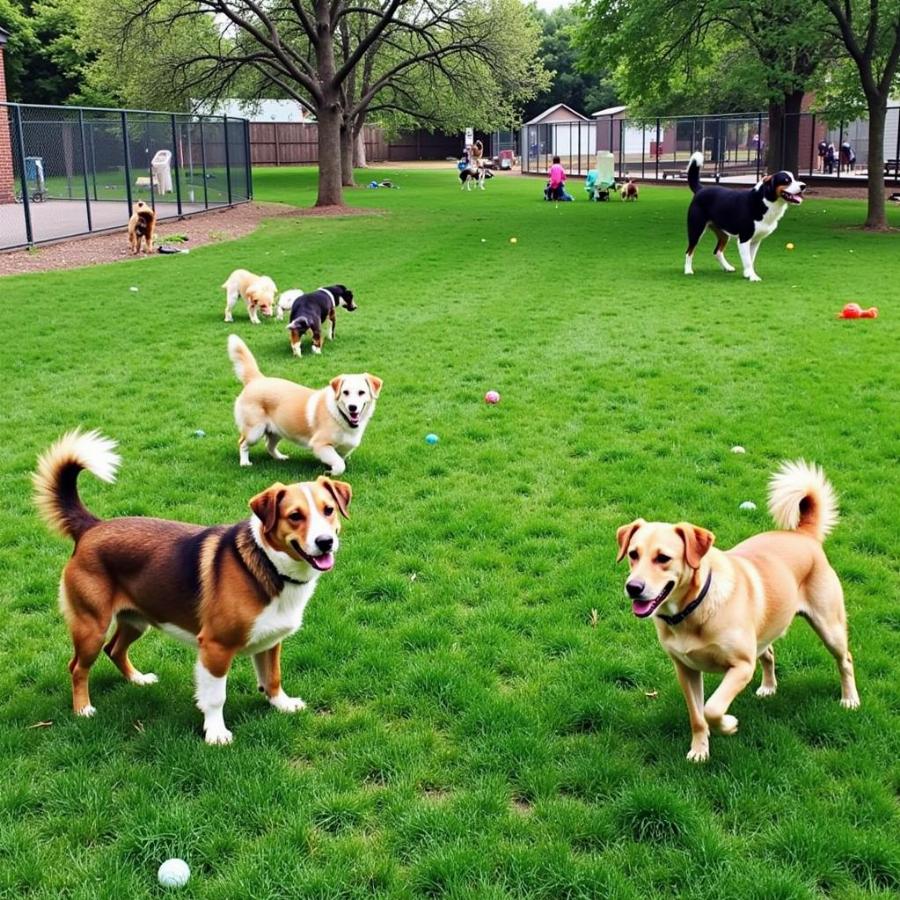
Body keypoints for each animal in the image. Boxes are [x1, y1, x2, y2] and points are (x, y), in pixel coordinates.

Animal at [31, 428, 350, 744]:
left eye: (329, 510)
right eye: (295, 516)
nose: (326, 542)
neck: (270, 565)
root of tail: (91, 526)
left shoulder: (270, 641)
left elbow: (272, 677)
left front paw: (281, 704)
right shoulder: (215, 648)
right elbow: (215, 697)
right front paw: (216, 732)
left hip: (136, 620)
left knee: (115, 649)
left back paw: (137, 679)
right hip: (92, 628)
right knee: (77, 667)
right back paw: (83, 708)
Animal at [229, 336, 384, 478]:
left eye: (361, 392)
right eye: (345, 392)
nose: (352, 407)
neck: (341, 417)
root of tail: (257, 379)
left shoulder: (344, 448)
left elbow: (340, 459)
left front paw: (329, 469)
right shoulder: (320, 444)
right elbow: (340, 465)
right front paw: (330, 473)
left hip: (277, 430)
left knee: (269, 446)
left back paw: (280, 458)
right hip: (254, 432)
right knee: (242, 443)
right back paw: (245, 463)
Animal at [620, 460, 856, 764]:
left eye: (663, 558)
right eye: (633, 554)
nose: (633, 587)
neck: (693, 609)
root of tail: (803, 534)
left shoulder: (742, 666)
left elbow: (712, 708)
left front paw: (728, 725)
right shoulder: (685, 669)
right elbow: (697, 716)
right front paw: (700, 750)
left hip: (829, 626)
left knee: (845, 659)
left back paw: (850, 699)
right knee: (769, 652)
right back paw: (769, 687)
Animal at [684, 152, 804, 282]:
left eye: (795, 179)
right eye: (786, 181)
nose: (804, 186)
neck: (764, 202)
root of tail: (701, 189)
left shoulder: (756, 240)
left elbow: (751, 259)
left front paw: (748, 273)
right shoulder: (744, 239)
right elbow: (747, 260)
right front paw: (752, 276)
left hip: (723, 234)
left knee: (717, 251)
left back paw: (727, 267)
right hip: (696, 230)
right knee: (689, 251)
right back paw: (688, 270)